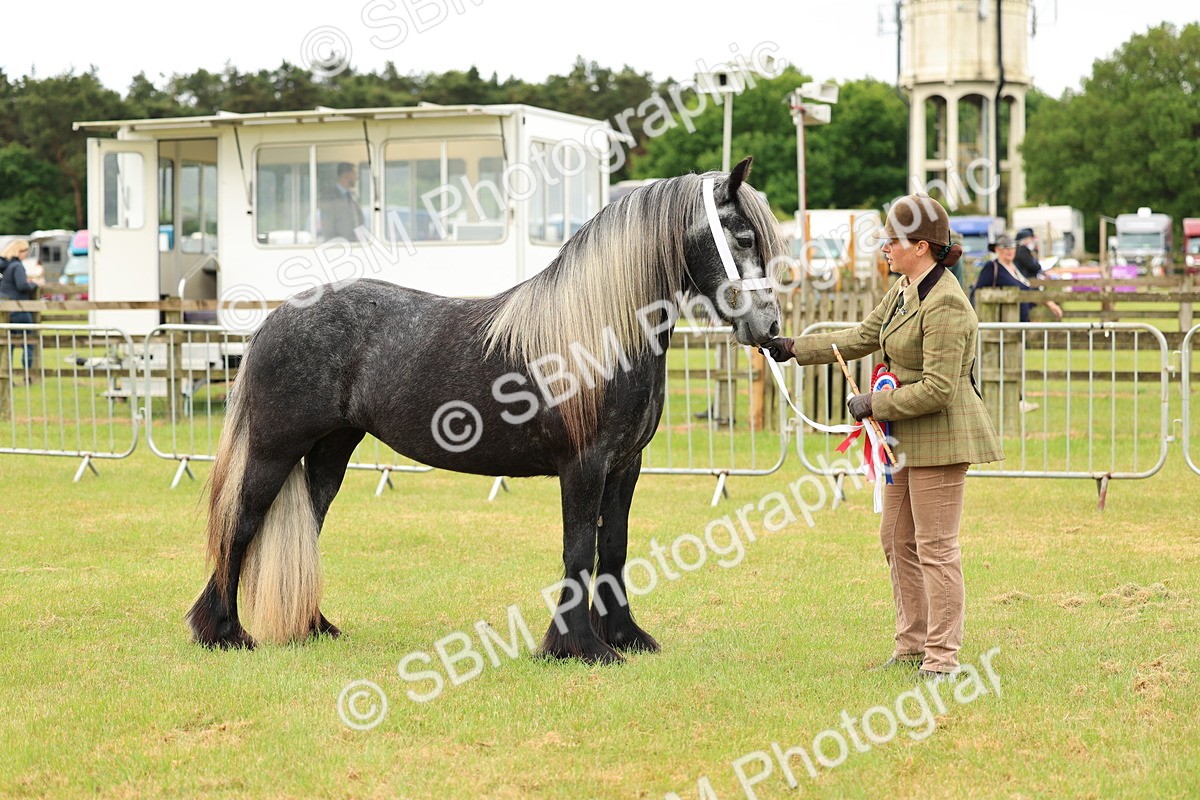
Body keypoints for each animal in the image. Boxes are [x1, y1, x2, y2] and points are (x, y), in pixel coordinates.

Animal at [186, 157, 786, 664]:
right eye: (743, 237)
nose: (770, 329)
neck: (599, 334)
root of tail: (275, 319)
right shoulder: (584, 466)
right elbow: (579, 552)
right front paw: (578, 647)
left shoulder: (624, 467)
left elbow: (613, 551)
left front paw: (625, 637)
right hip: (274, 449)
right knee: (240, 524)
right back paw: (224, 633)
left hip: (330, 452)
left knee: (306, 528)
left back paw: (313, 626)